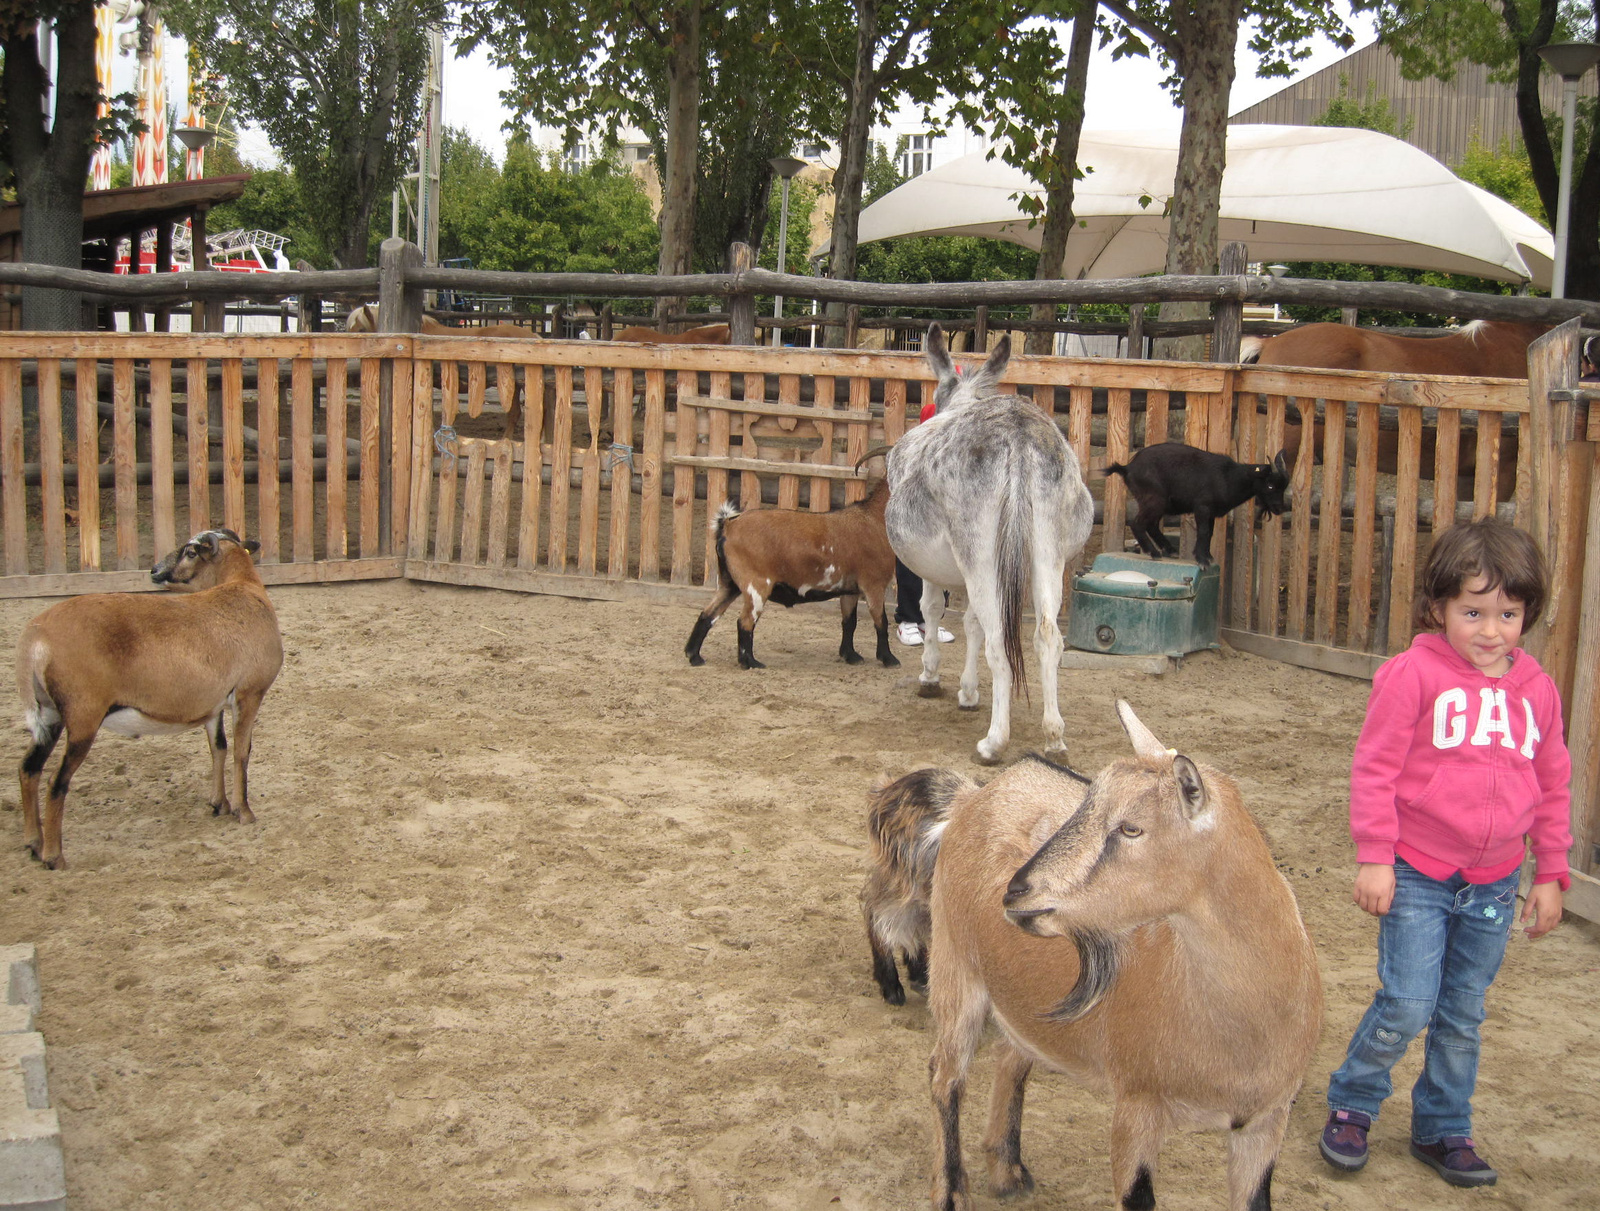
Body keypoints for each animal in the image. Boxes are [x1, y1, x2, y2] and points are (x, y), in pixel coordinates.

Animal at [14, 527, 283, 870]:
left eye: (190, 552)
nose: (154, 570)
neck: (243, 589)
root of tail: (35, 637)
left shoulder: (214, 703)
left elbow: (218, 748)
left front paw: (219, 804)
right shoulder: (250, 692)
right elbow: (241, 752)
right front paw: (244, 812)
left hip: (49, 715)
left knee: (28, 769)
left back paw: (34, 843)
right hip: (83, 716)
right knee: (55, 782)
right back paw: (54, 856)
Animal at [681, 479, 902, 671]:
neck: (873, 518)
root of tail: (727, 524)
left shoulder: (850, 589)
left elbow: (849, 621)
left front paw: (851, 656)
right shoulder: (874, 584)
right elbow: (881, 621)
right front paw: (889, 659)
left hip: (729, 584)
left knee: (707, 614)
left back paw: (695, 656)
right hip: (756, 585)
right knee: (744, 622)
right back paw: (750, 663)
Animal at [870, 700, 1318, 1209]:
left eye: (1131, 828)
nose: (1017, 891)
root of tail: (972, 797)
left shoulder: (1265, 1123)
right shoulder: (1137, 1106)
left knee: (1012, 1056)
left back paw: (1007, 1169)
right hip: (955, 965)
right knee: (945, 1074)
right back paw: (950, 1192)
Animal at [1107, 444, 1292, 566]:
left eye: (1284, 486)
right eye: (1270, 485)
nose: (1279, 508)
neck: (1229, 477)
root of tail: (1127, 468)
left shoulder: (1211, 513)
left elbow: (1209, 533)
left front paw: (1207, 556)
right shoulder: (1202, 507)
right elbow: (1203, 532)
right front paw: (1202, 560)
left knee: (1151, 525)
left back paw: (1170, 550)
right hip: (1154, 500)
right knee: (1137, 523)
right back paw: (1154, 553)